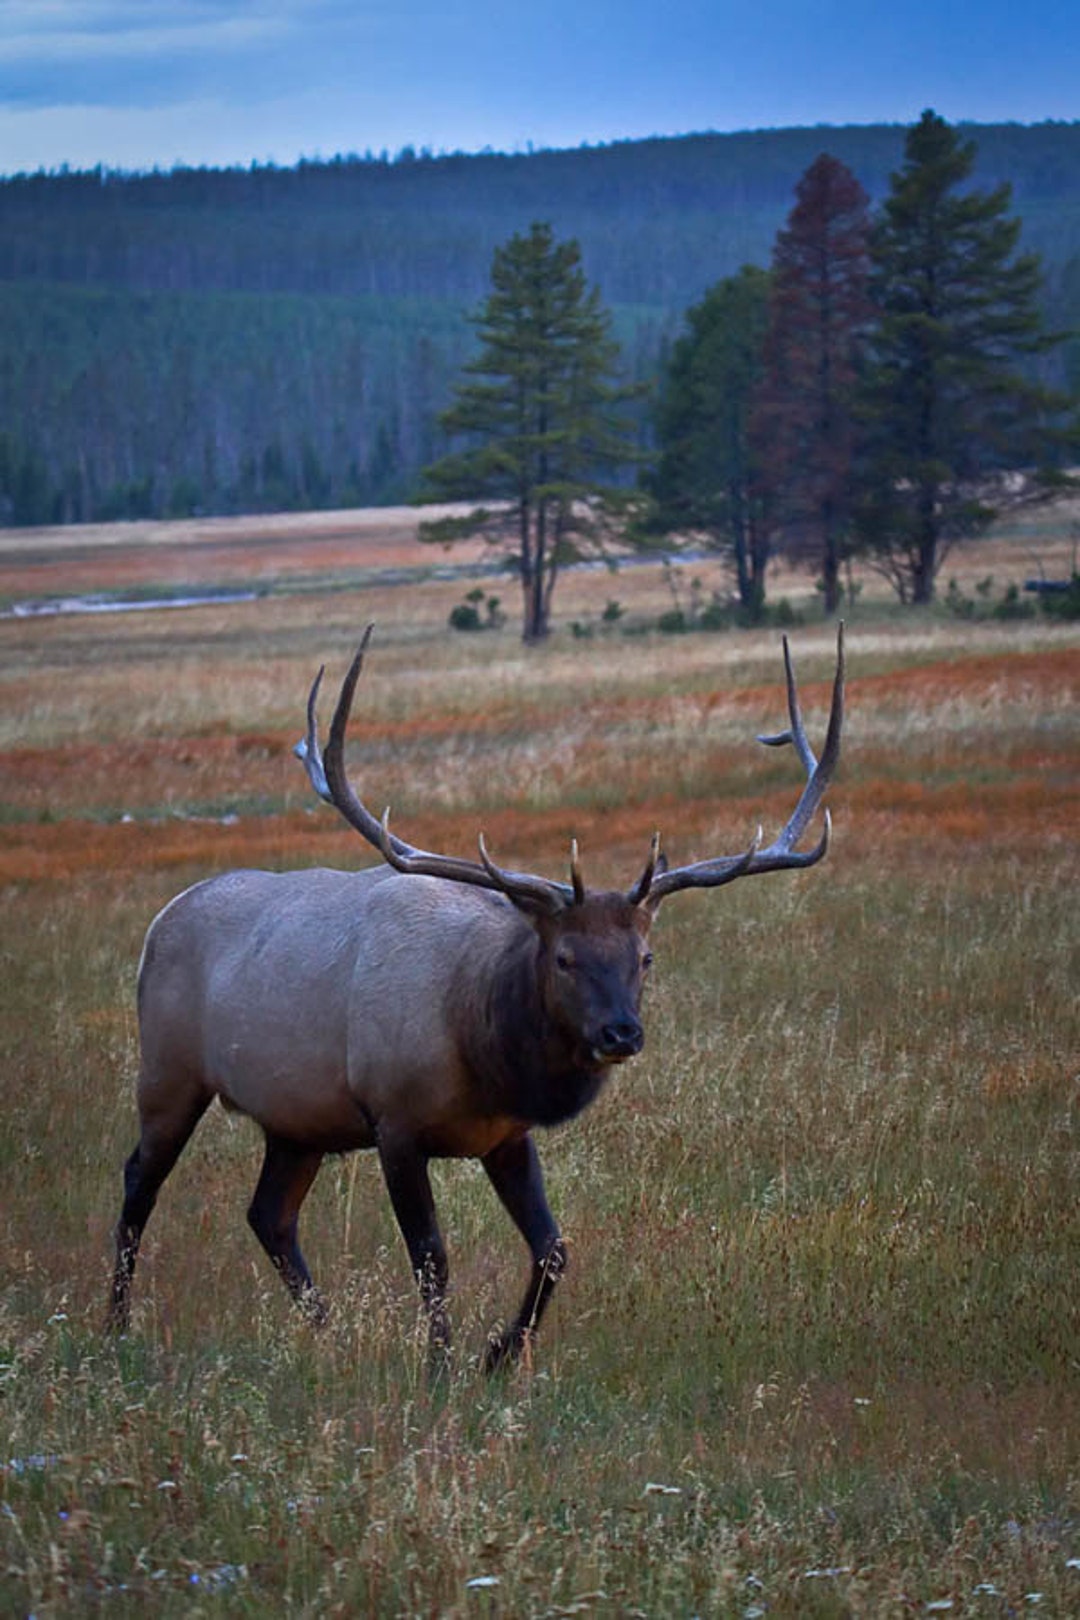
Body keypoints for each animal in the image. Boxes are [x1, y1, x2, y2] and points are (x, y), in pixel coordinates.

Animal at [108, 624, 844, 1371]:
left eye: (645, 957)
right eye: (564, 957)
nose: (621, 1033)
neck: (480, 1046)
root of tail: (159, 921)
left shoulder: (505, 1135)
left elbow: (553, 1247)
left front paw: (499, 1353)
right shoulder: (395, 1122)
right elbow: (432, 1259)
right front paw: (439, 1364)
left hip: (297, 1118)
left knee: (269, 1215)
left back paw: (329, 1331)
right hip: (169, 1072)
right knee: (140, 1180)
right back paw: (115, 1324)